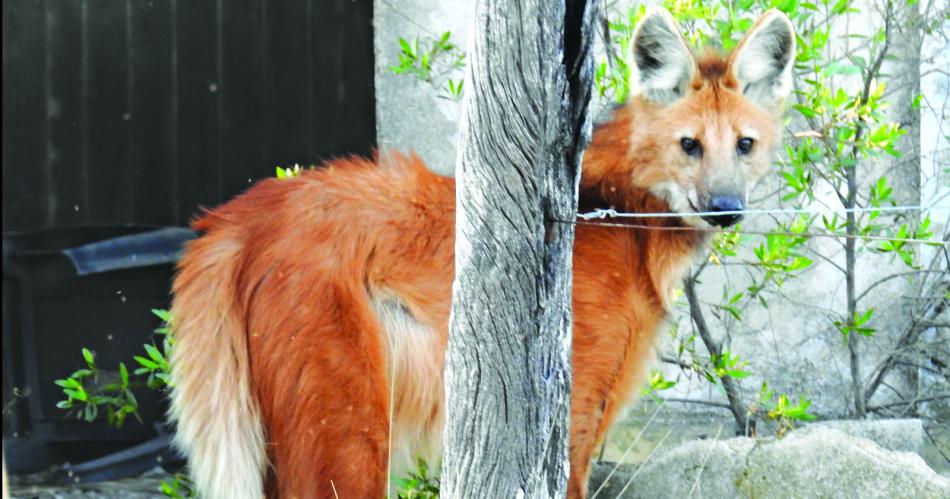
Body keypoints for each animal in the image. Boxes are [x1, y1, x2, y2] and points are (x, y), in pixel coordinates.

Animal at [169, 8, 796, 499]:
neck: (613, 207)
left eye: (744, 145)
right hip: (346, 422)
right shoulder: (575, 406)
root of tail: (238, 218)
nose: (725, 207)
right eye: (690, 145)